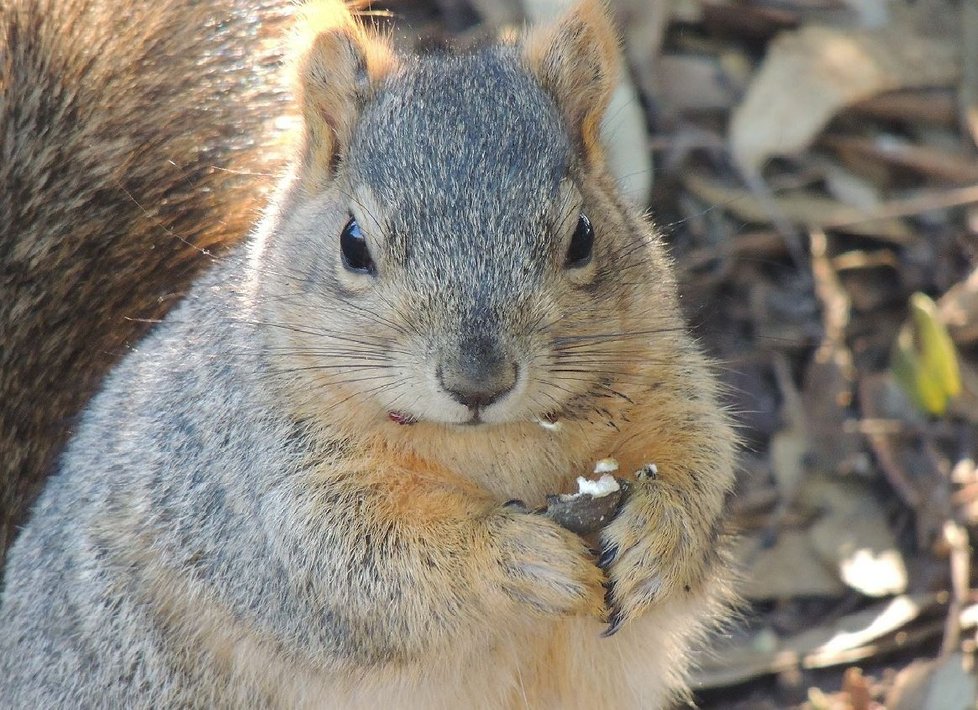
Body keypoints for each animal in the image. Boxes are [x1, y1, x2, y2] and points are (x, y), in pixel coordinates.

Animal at [0, 2, 732, 708]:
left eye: (583, 237)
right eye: (354, 244)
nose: (477, 382)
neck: (495, 440)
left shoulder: (662, 375)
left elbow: (702, 455)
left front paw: (662, 532)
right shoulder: (254, 491)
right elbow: (359, 563)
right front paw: (515, 556)